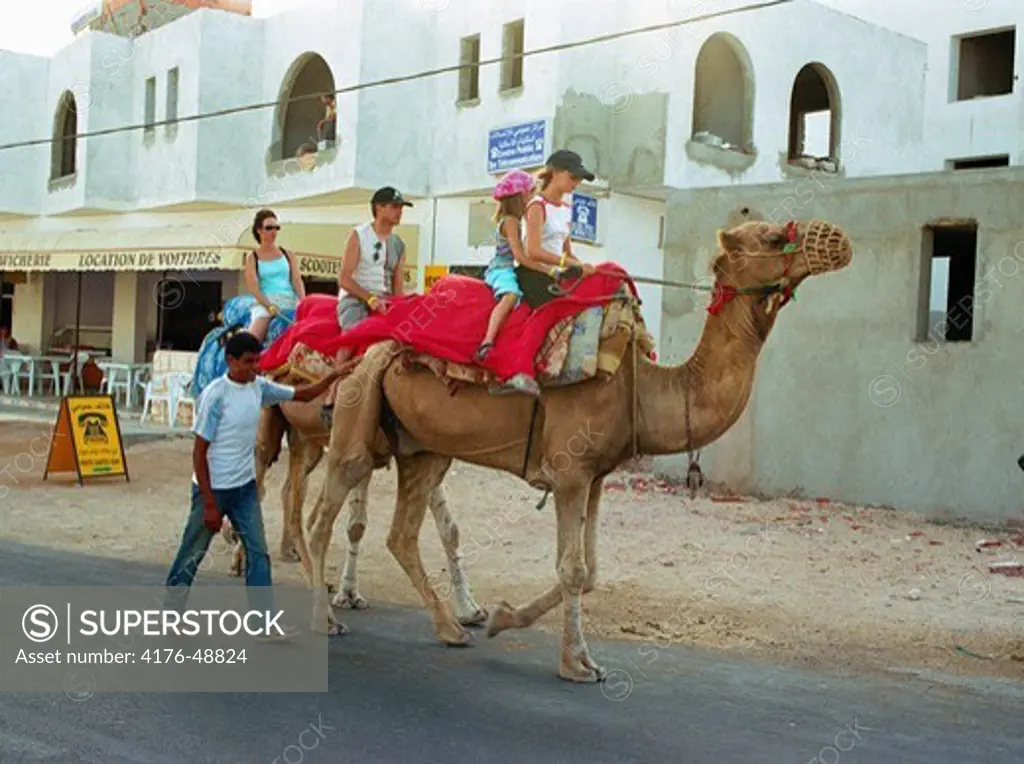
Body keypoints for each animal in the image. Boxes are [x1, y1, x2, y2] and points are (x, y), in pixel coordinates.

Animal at [226, 389, 489, 626]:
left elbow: (449, 529)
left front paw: (470, 609)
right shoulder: (361, 452)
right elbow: (356, 526)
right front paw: (349, 594)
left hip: (307, 440)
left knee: (288, 492)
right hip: (268, 427)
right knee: (258, 482)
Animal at [305, 219, 856, 680]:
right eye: (772, 236)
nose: (837, 238)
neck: (642, 387)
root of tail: (365, 349)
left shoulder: (595, 477)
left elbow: (590, 572)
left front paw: (502, 619)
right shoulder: (568, 470)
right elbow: (572, 569)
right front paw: (574, 664)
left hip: (423, 450)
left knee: (401, 533)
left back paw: (450, 627)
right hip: (357, 418)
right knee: (324, 517)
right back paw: (326, 616)